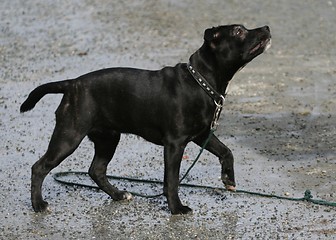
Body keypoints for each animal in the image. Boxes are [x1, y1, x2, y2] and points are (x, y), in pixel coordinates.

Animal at [20, 24, 270, 215]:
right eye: (238, 31)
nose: (266, 27)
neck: (201, 81)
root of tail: (71, 84)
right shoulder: (175, 144)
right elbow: (172, 180)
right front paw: (176, 208)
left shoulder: (202, 135)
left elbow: (227, 151)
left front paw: (228, 178)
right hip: (69, 137)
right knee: (39, 167)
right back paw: (38, 205)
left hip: (108, 139)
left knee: (96, 170)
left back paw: (118, 194)